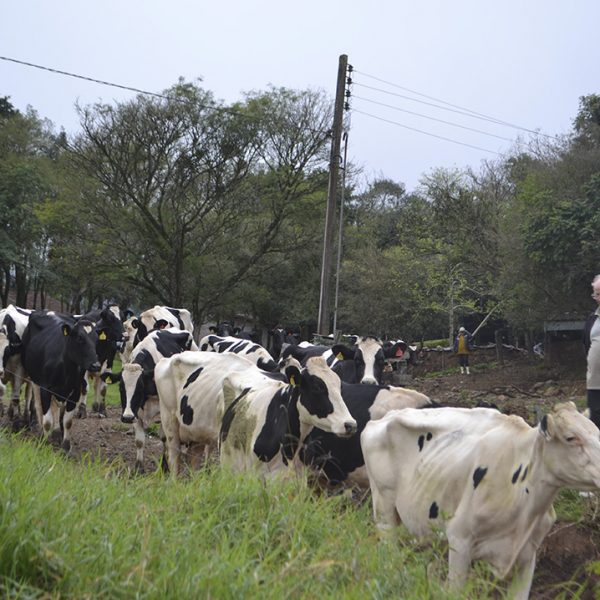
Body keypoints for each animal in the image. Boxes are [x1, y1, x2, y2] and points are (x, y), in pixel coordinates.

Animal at [20, 314, 101, 450]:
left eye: (96, 340)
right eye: (80, 338)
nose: (96, 365)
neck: (66, 369)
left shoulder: (75, 392)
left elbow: (68, 421)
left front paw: (66, 446)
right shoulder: (45, 389)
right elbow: (47, 420)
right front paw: (44, 442)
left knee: (57, 409)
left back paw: (58, 432)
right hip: (34, 380)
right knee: (39, 406)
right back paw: (42, 431)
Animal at [360, 404, 600, 600]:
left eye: (597, 432)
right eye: (571, 438)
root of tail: (386, 416)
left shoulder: (527, 554)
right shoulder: (459, 540)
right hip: (383, 509)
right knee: (388, 554)